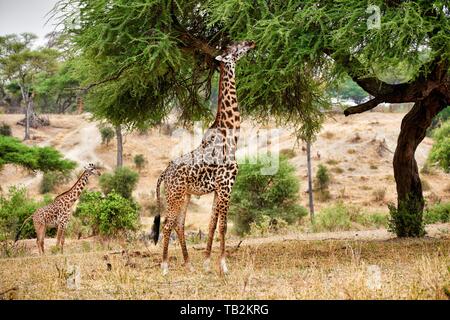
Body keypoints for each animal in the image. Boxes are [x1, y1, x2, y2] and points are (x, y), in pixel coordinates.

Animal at [150, 40, 255, 276]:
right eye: (236, 48)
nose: (251, 42)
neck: (231, 136)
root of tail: (164, 174)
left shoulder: (218, 189)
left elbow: (212, 225)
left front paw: (207, 263)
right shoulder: (226, 186)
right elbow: (224, 226)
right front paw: (224, 266)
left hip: (184, 196)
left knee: (179, 225)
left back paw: (189, 265)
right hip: (175, 196)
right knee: (168, 225)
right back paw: (165, 267)